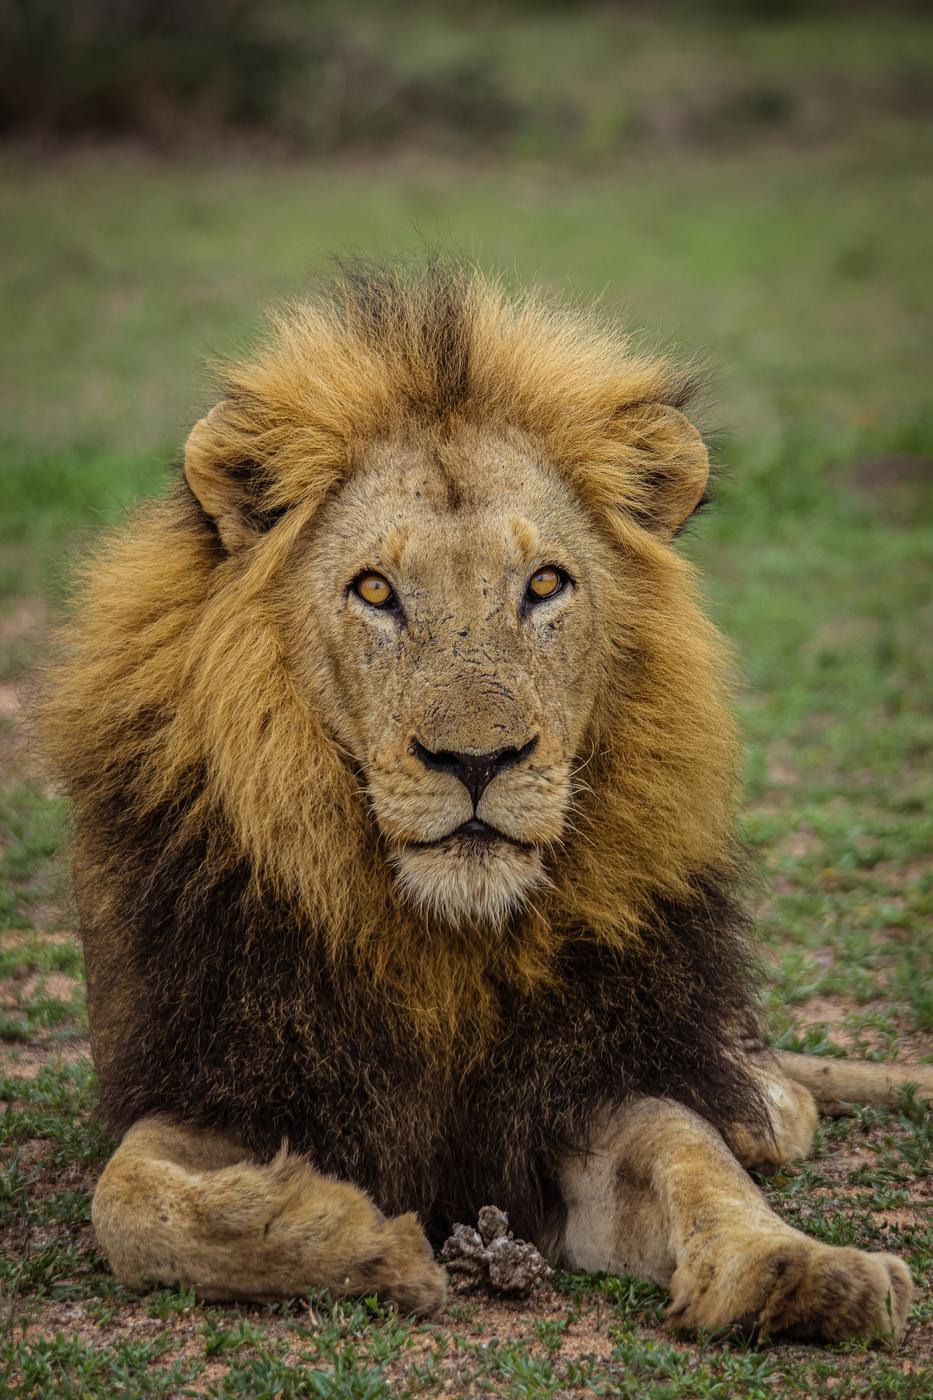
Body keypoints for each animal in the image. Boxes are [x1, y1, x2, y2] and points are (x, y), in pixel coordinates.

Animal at [44, 264, 930, 1342]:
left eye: (543, 585)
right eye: (375, 591)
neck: (443, 946)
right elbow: (132, 1202)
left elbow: (693, 1156)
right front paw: (358, 1242)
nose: (478, 758)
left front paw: (798, 1271)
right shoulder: (224, 1076)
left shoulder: (580, 1088)